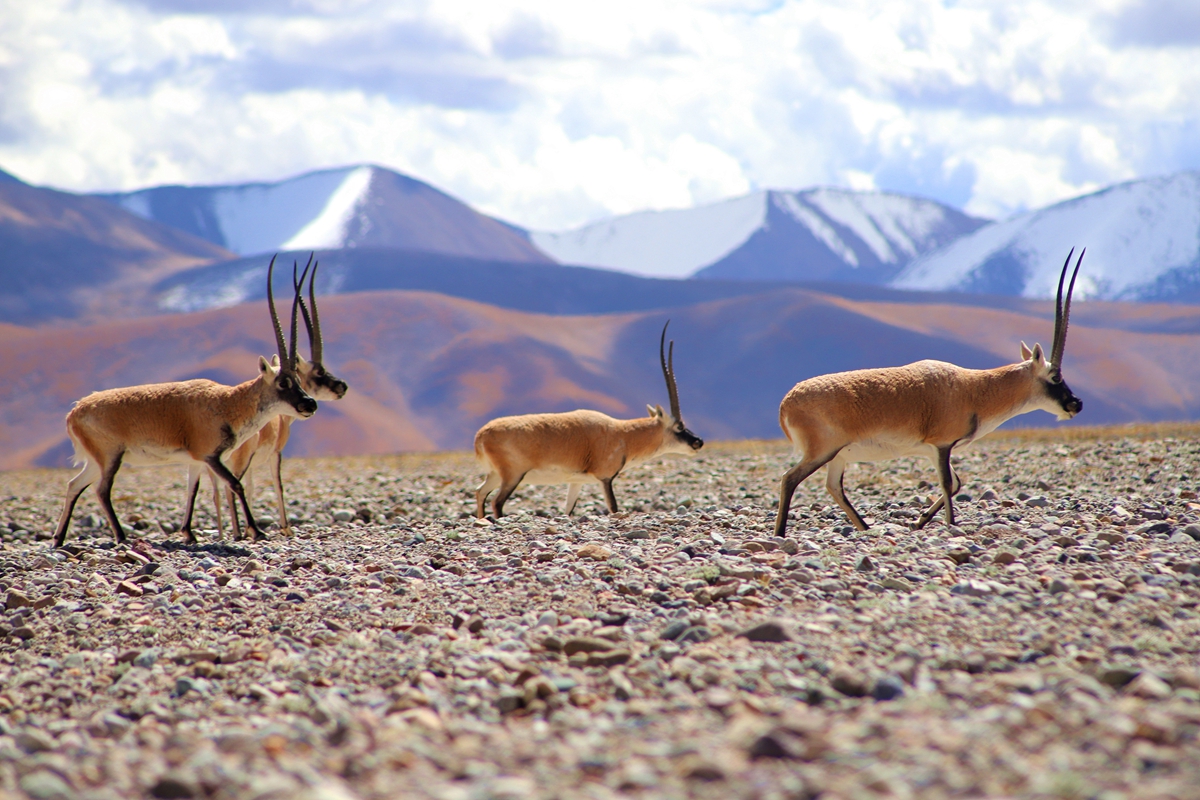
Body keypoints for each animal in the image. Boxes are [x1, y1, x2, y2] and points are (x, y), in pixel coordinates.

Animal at [52, 253, 319, 546]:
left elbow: (193, 488)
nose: (310, 404)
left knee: (74, 485)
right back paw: (121, 537)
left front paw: (189, 534)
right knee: (101, 490)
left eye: (298, 379)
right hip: (110, 457)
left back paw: (59, 539)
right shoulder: (211, 457)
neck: (228, 402)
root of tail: (74, 413)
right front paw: (256, 530)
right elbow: (235, 484)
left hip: (96, 460)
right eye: (283, 382)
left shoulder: (196, 460)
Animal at [202, 260, 350, 542]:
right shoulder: (275, 454)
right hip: (238, 459)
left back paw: (227, 534)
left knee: (217, 491)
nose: (342, 386)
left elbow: (250, 488)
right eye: (318, 372)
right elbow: (278, 484)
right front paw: (284, 527)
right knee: (229, 488)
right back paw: (238, 533)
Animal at [475, 321, 705, 520]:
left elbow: (568, 510)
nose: (698, 442)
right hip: (513, 476)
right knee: (496, 502)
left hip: (495, 475)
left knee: (480, 492)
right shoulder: (605, 478)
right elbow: (613, 508)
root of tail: (482, 434)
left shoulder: (576, 482)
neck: (623, 434)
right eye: (679, 426)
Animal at [772, 250, 1084, 537]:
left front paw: (920, 521)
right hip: (822, 452)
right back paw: (780, 533)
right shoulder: (942, 445)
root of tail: (787, 403)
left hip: (837, 457)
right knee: (789, 479)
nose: (1076, 404)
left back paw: (865, 528)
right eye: (1055, 377)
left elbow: (956, 483)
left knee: (833, 487)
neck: (974, 389)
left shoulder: (933, 450)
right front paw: (951, 525)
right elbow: (948, 484)